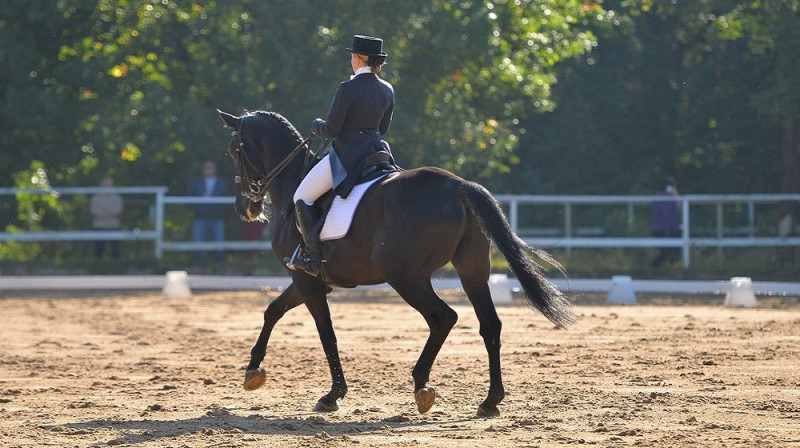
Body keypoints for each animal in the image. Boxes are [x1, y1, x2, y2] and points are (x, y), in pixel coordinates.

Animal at [212, 110, 576, 418]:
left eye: (233, 151)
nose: (245, 208)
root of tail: (458, 185)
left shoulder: (306, 279)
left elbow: (326, 333)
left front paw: (333, 395)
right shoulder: (309, 279)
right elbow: (273, 310)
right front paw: (253, 370)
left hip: (406, 277)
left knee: (443, 318)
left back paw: (422, 386)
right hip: (471, 270)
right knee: (490, 325)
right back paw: (490, 400)